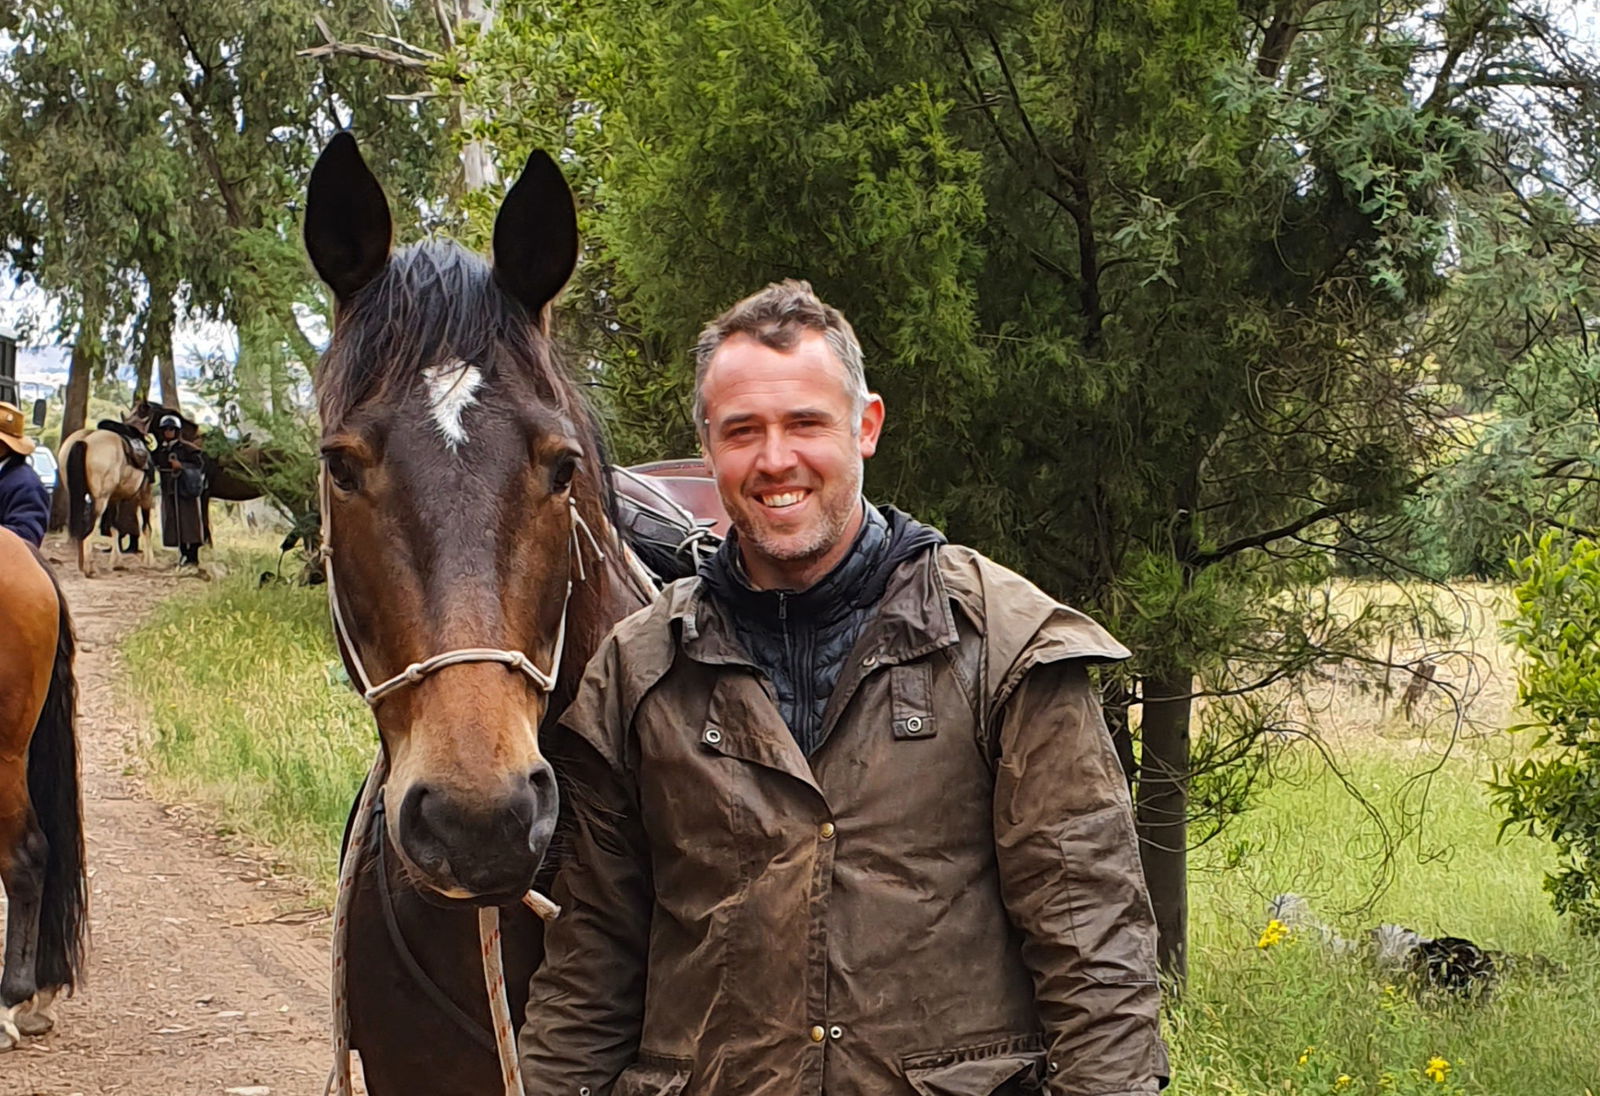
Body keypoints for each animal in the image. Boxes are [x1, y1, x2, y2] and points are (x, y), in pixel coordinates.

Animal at [57, 424, 154, 577]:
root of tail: (84, 440)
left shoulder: (114, 498)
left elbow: (114, 528)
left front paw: (116, 562)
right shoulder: (146, 495)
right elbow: (146, 528)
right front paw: (148, 561)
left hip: (76, 495)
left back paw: (82, 565)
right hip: (100, 499)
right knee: (89, 527)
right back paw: (89, 568)